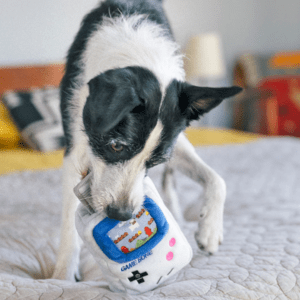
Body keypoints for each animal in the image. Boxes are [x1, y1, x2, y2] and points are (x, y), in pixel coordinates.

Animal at [52, 0, 243, 282]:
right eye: (116, 145)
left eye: (155, 161)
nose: (120, 214)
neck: (138, 54)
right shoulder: (75, 145)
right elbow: (67, 220)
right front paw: (62, 275)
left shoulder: (175, 144)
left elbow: (217, 179)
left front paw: (210, 230)